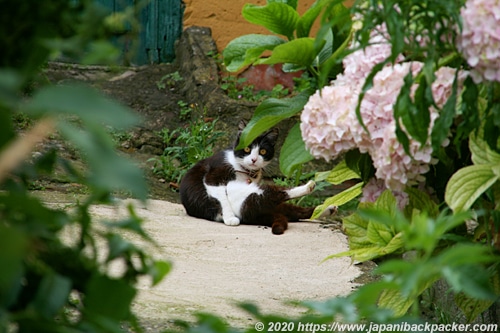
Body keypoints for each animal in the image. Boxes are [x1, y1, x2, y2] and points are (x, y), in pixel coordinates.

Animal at [180, 121, 336, 233]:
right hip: (252, 197)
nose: (254, 159)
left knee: (299, 211)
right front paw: (229, 218)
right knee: (278, 194)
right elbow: (222, 198)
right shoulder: (213, 178)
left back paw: (328, 208)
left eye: (262, 151)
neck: (245, 171)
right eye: (247, 149)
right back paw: (310, 186)